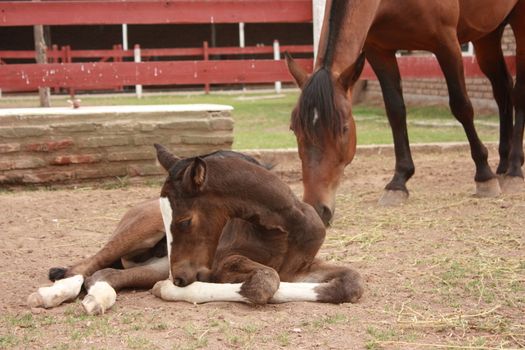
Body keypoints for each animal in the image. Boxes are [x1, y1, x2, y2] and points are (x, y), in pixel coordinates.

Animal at [27, 146, 364, 314]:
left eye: (184, 221)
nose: (179, 278)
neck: (284, 228)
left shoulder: (301, 267)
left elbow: (351, 284)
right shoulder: (222, 263)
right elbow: (265, 282)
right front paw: (171, 290)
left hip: (158, 262)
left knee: (107, 274)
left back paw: (96, 298)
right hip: (140, 236)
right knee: (85, 266)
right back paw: (51, 294)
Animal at [286, 0, 524, 221]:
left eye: (344, 128)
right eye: (294, 130)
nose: (317, 209)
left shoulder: (447, 43)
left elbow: (461, 106)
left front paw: (484, 175)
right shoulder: (379, 51)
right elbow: (395, 111)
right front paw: (399, 181)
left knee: (517, 93)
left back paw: (514, 170)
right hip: (488, 33)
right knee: (502, 88)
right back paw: (503, 165)